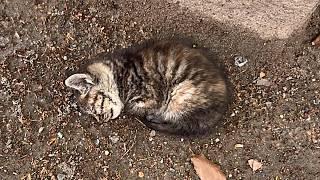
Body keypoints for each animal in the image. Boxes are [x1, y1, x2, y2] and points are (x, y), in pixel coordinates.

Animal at [65, 39, 230, 135]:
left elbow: (134, 107)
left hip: (182, 94)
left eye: (94, 109)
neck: (120, 72)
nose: (102, 120)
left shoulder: (150, 95)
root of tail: (219, 109)